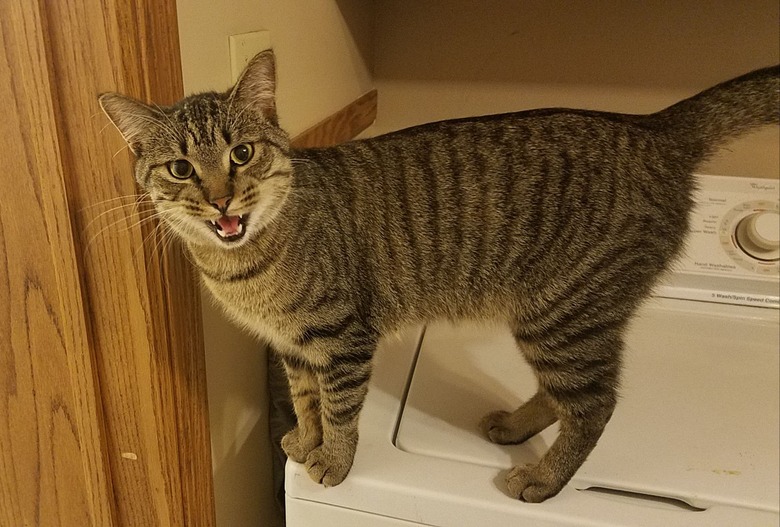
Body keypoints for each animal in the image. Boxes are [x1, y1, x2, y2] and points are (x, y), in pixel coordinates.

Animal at [99, 52, 780, 504]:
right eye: (181, 168)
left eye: (240, 154)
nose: (220, 200)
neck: (243, 269)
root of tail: (653, 126)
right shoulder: (293, 347)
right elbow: (306, 400)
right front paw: (303, 440)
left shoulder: (343, 339)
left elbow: (340, 412)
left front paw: (333, 462)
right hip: (553, 319)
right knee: (564, 395)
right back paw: (514, 427)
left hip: (565, 315)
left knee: (594, 405)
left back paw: (544, 479)